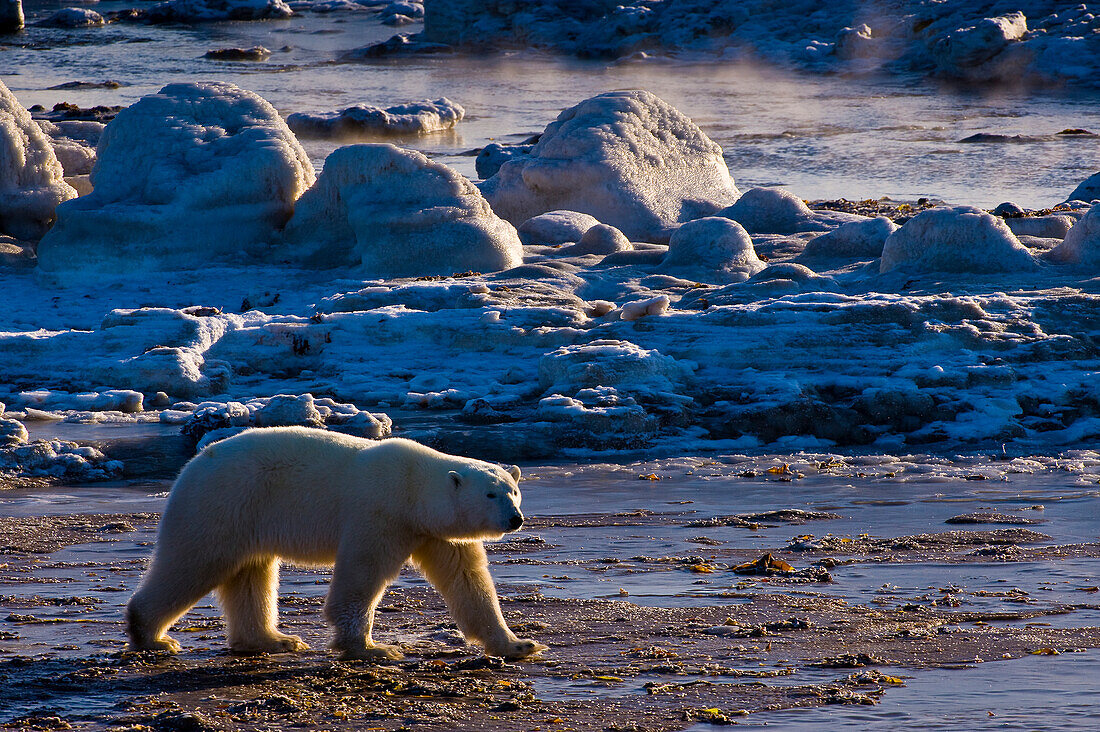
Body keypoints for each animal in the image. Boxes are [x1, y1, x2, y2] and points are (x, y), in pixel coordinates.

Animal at [124, 424, 545, 660]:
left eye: (513, 491)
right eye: (491, 494)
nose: (515, 519)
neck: (413, 488)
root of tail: (192, 466)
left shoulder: (437, 533)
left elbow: (468, 582)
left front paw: (518, 645)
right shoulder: (379, 515)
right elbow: (362, 576)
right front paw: (373, 649)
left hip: (246, 518)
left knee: (251, 574)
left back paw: (274, 640)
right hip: (224, 503)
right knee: (193, 562)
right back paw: (152, 637)